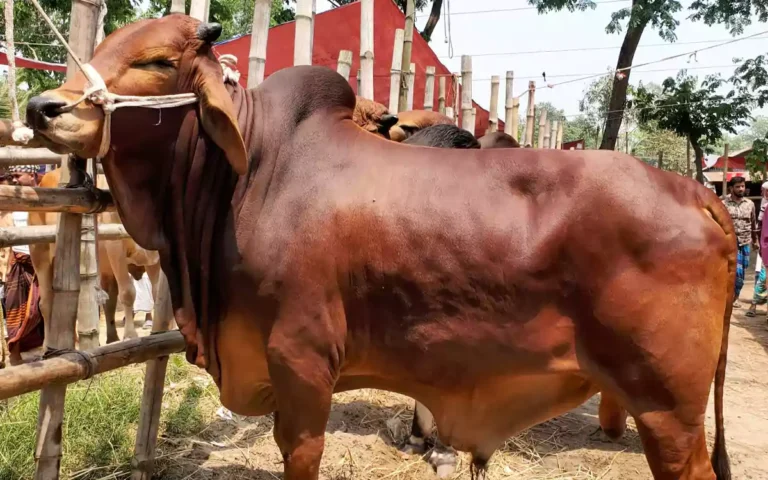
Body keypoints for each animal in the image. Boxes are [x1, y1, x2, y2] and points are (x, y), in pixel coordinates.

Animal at [29, 168, 163, 344]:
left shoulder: (154, 256)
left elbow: (157, 292)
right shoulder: (116, 249)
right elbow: (128, 293)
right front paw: (130, 335)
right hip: (40, 257)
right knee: (46, 304)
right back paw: (48, 344)